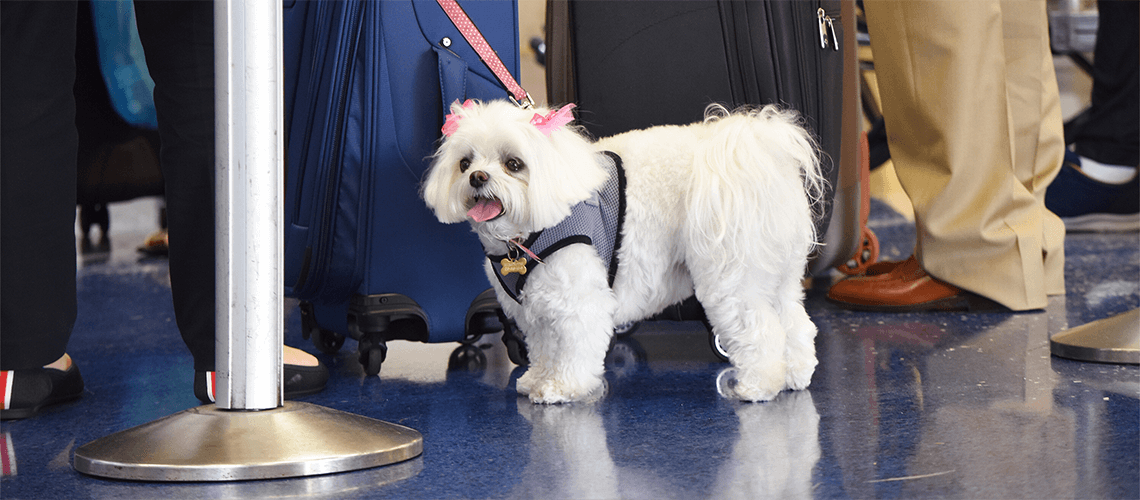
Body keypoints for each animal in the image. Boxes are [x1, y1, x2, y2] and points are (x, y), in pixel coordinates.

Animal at [424, 99, 825, 405]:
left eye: (513, 164)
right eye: (464, 163)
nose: (477, 178)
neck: (526, 235)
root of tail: (754, 152)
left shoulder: (579, 302)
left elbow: (574, 350)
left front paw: (563, 388)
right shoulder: (535, 311)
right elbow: (545, 348)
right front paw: (538, 380)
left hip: (731, 278)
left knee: (761, 331)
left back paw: (757, 386)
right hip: (779, 276)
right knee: (796, 325)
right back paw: (795, 375)